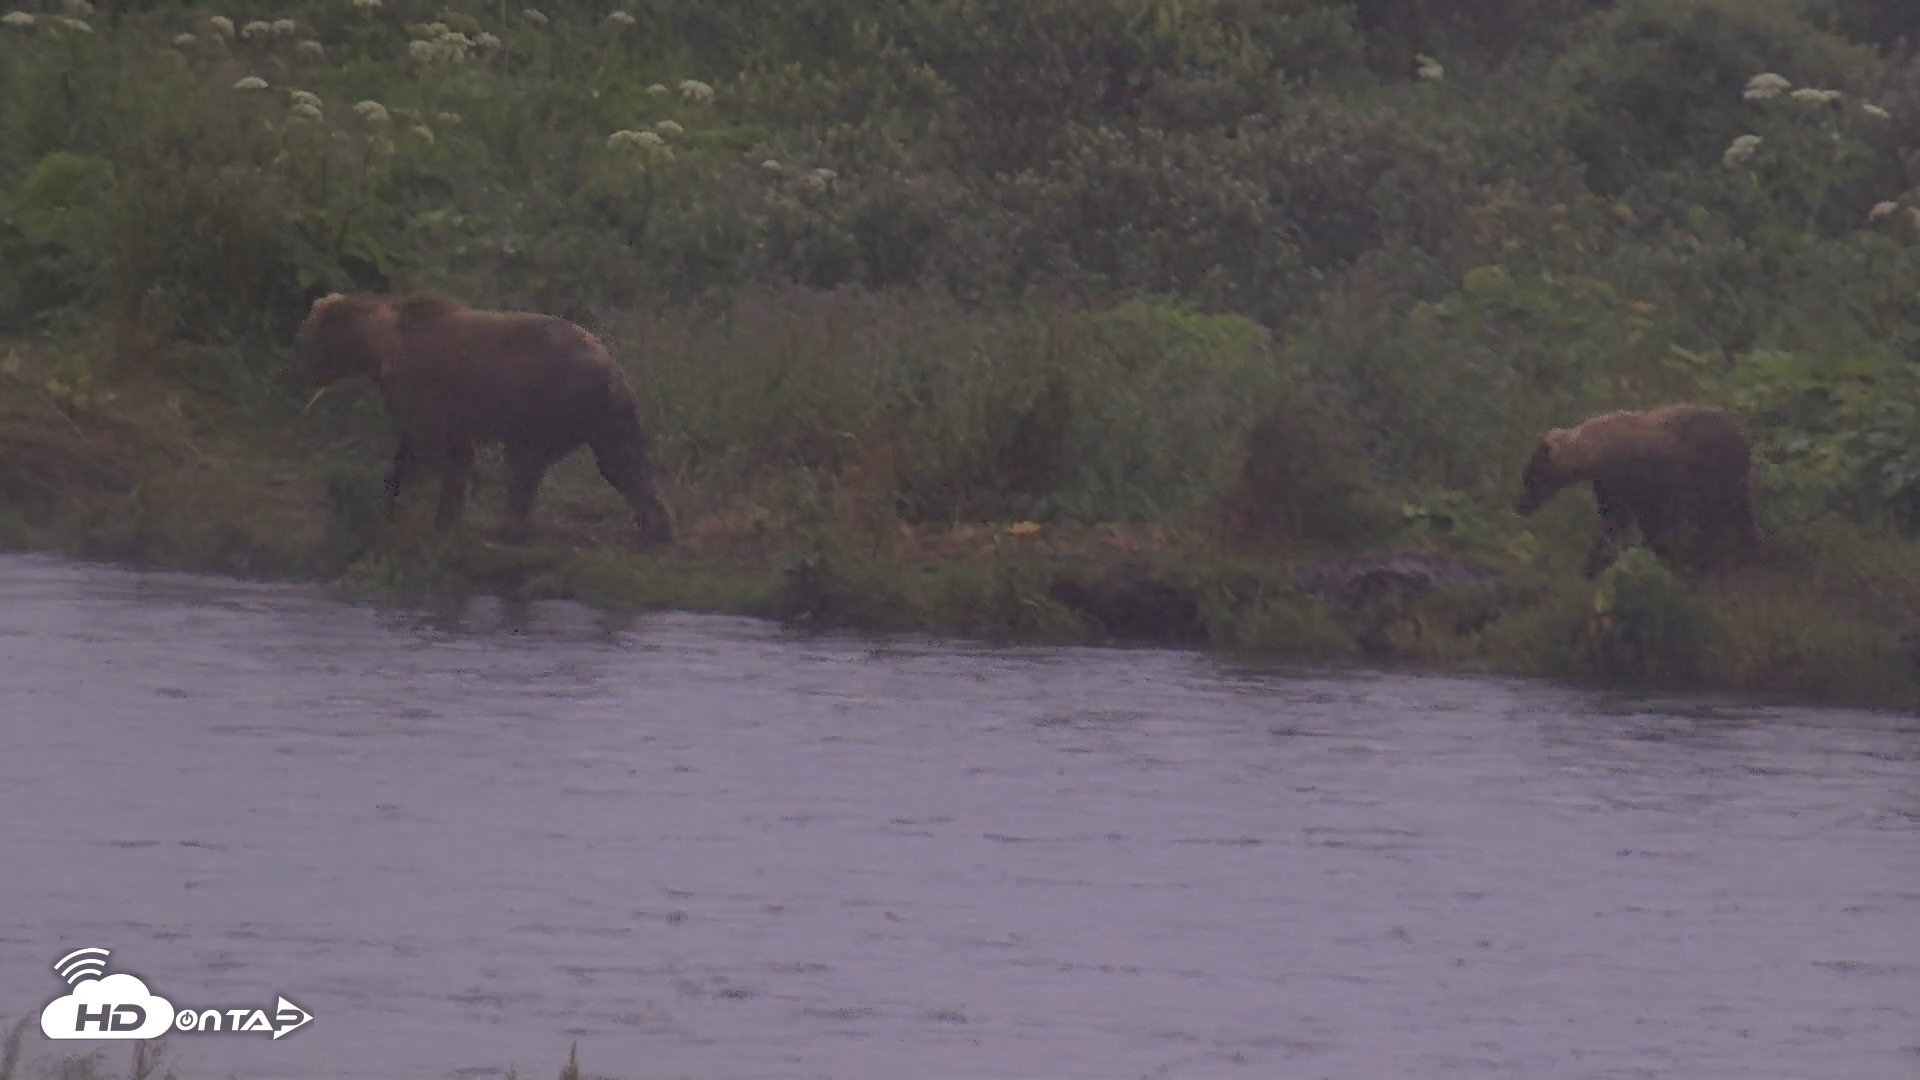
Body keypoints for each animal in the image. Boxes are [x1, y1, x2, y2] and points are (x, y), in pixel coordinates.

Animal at [295, 291, 674, 547]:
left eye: (309, 336)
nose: (300, 369)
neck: (381, 350)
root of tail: (610, 364)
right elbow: (426, 452)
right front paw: (404, 506)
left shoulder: (426, 389)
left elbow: (437, 451)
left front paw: (429, 514)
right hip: (606, 415)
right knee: (623, 463)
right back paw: (655, 528)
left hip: (549, 400)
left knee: (526, 464)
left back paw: (509, 528)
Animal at [1514, 403, 1759, 579]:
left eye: (1530, 479)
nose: (1520, 507)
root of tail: (1743, 435)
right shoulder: (1613, 485)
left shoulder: (1633, 480)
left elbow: (1622, 525)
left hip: (1718, 475)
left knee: (1730, 516)